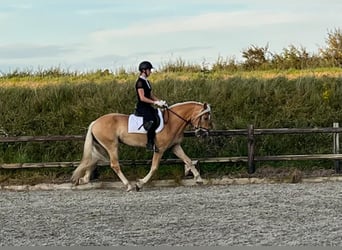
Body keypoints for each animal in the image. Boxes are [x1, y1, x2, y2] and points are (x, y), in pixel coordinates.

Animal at [71, 100, 211, 190]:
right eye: (205, 118)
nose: (204, 134)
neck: (171, 122)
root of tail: (95, 122)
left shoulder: (175, 146)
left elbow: (188, 160)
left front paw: (199, 179)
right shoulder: (160, 149)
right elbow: (154, 167)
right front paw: (140, 184)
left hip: (100, 146)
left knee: (92, 161)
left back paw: (83, 180)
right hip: (112, 146)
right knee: (114, 164)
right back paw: (128, 185)